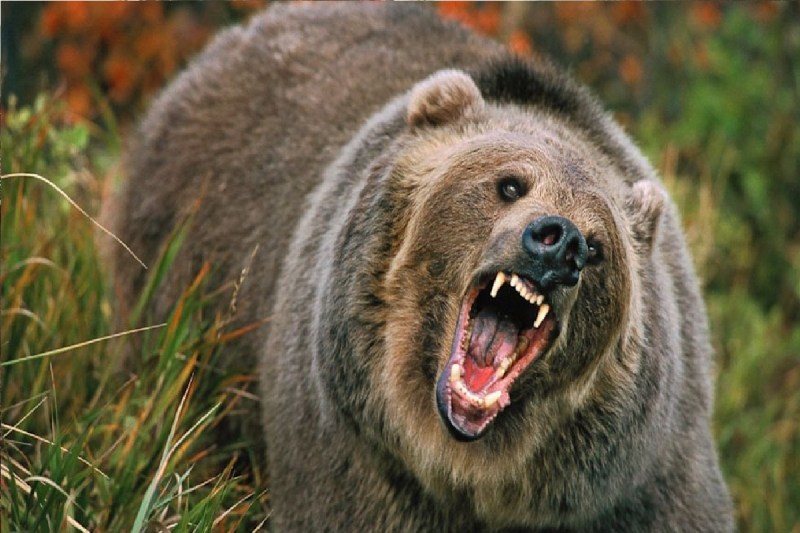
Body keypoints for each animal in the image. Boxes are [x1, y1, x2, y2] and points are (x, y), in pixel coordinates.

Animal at [105, 3, 733, 531]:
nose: (562, 243)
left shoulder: (641, 479)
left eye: (600, 246)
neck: (469, 469)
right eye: (510, 184)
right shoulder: (355, 452)